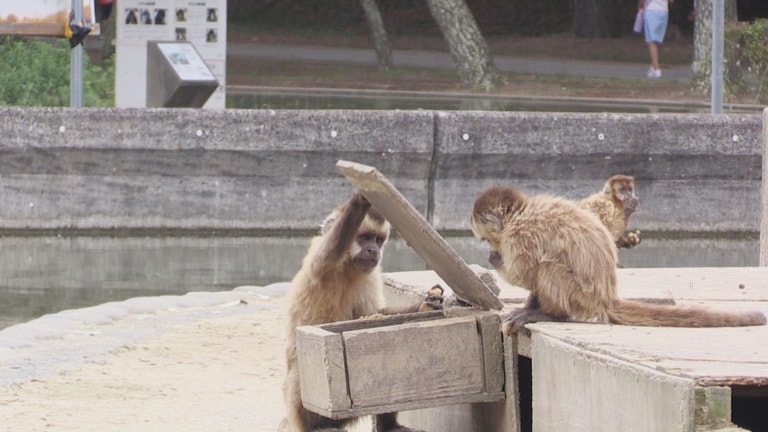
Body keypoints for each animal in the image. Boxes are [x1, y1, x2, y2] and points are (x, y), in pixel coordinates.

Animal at [282, 192, 440, 432]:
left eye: (378, 240)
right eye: (365, 237)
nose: (373, 250)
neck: (347, 266)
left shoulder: (370, 272)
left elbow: (373, 315)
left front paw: (425, 305)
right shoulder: (321, 260)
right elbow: (331, 249)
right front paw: (359, 201)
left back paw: (388, 426)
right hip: (298, 410)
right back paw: (318, 426)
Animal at [468, 184, 768, 336]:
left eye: (485, 239)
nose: (490, 248)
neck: (521, 213)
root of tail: (605, 297)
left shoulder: (519, 234)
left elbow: (525, 272)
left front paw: (498, 261)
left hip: (582, 297)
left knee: (548, 267)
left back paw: (552, 313)